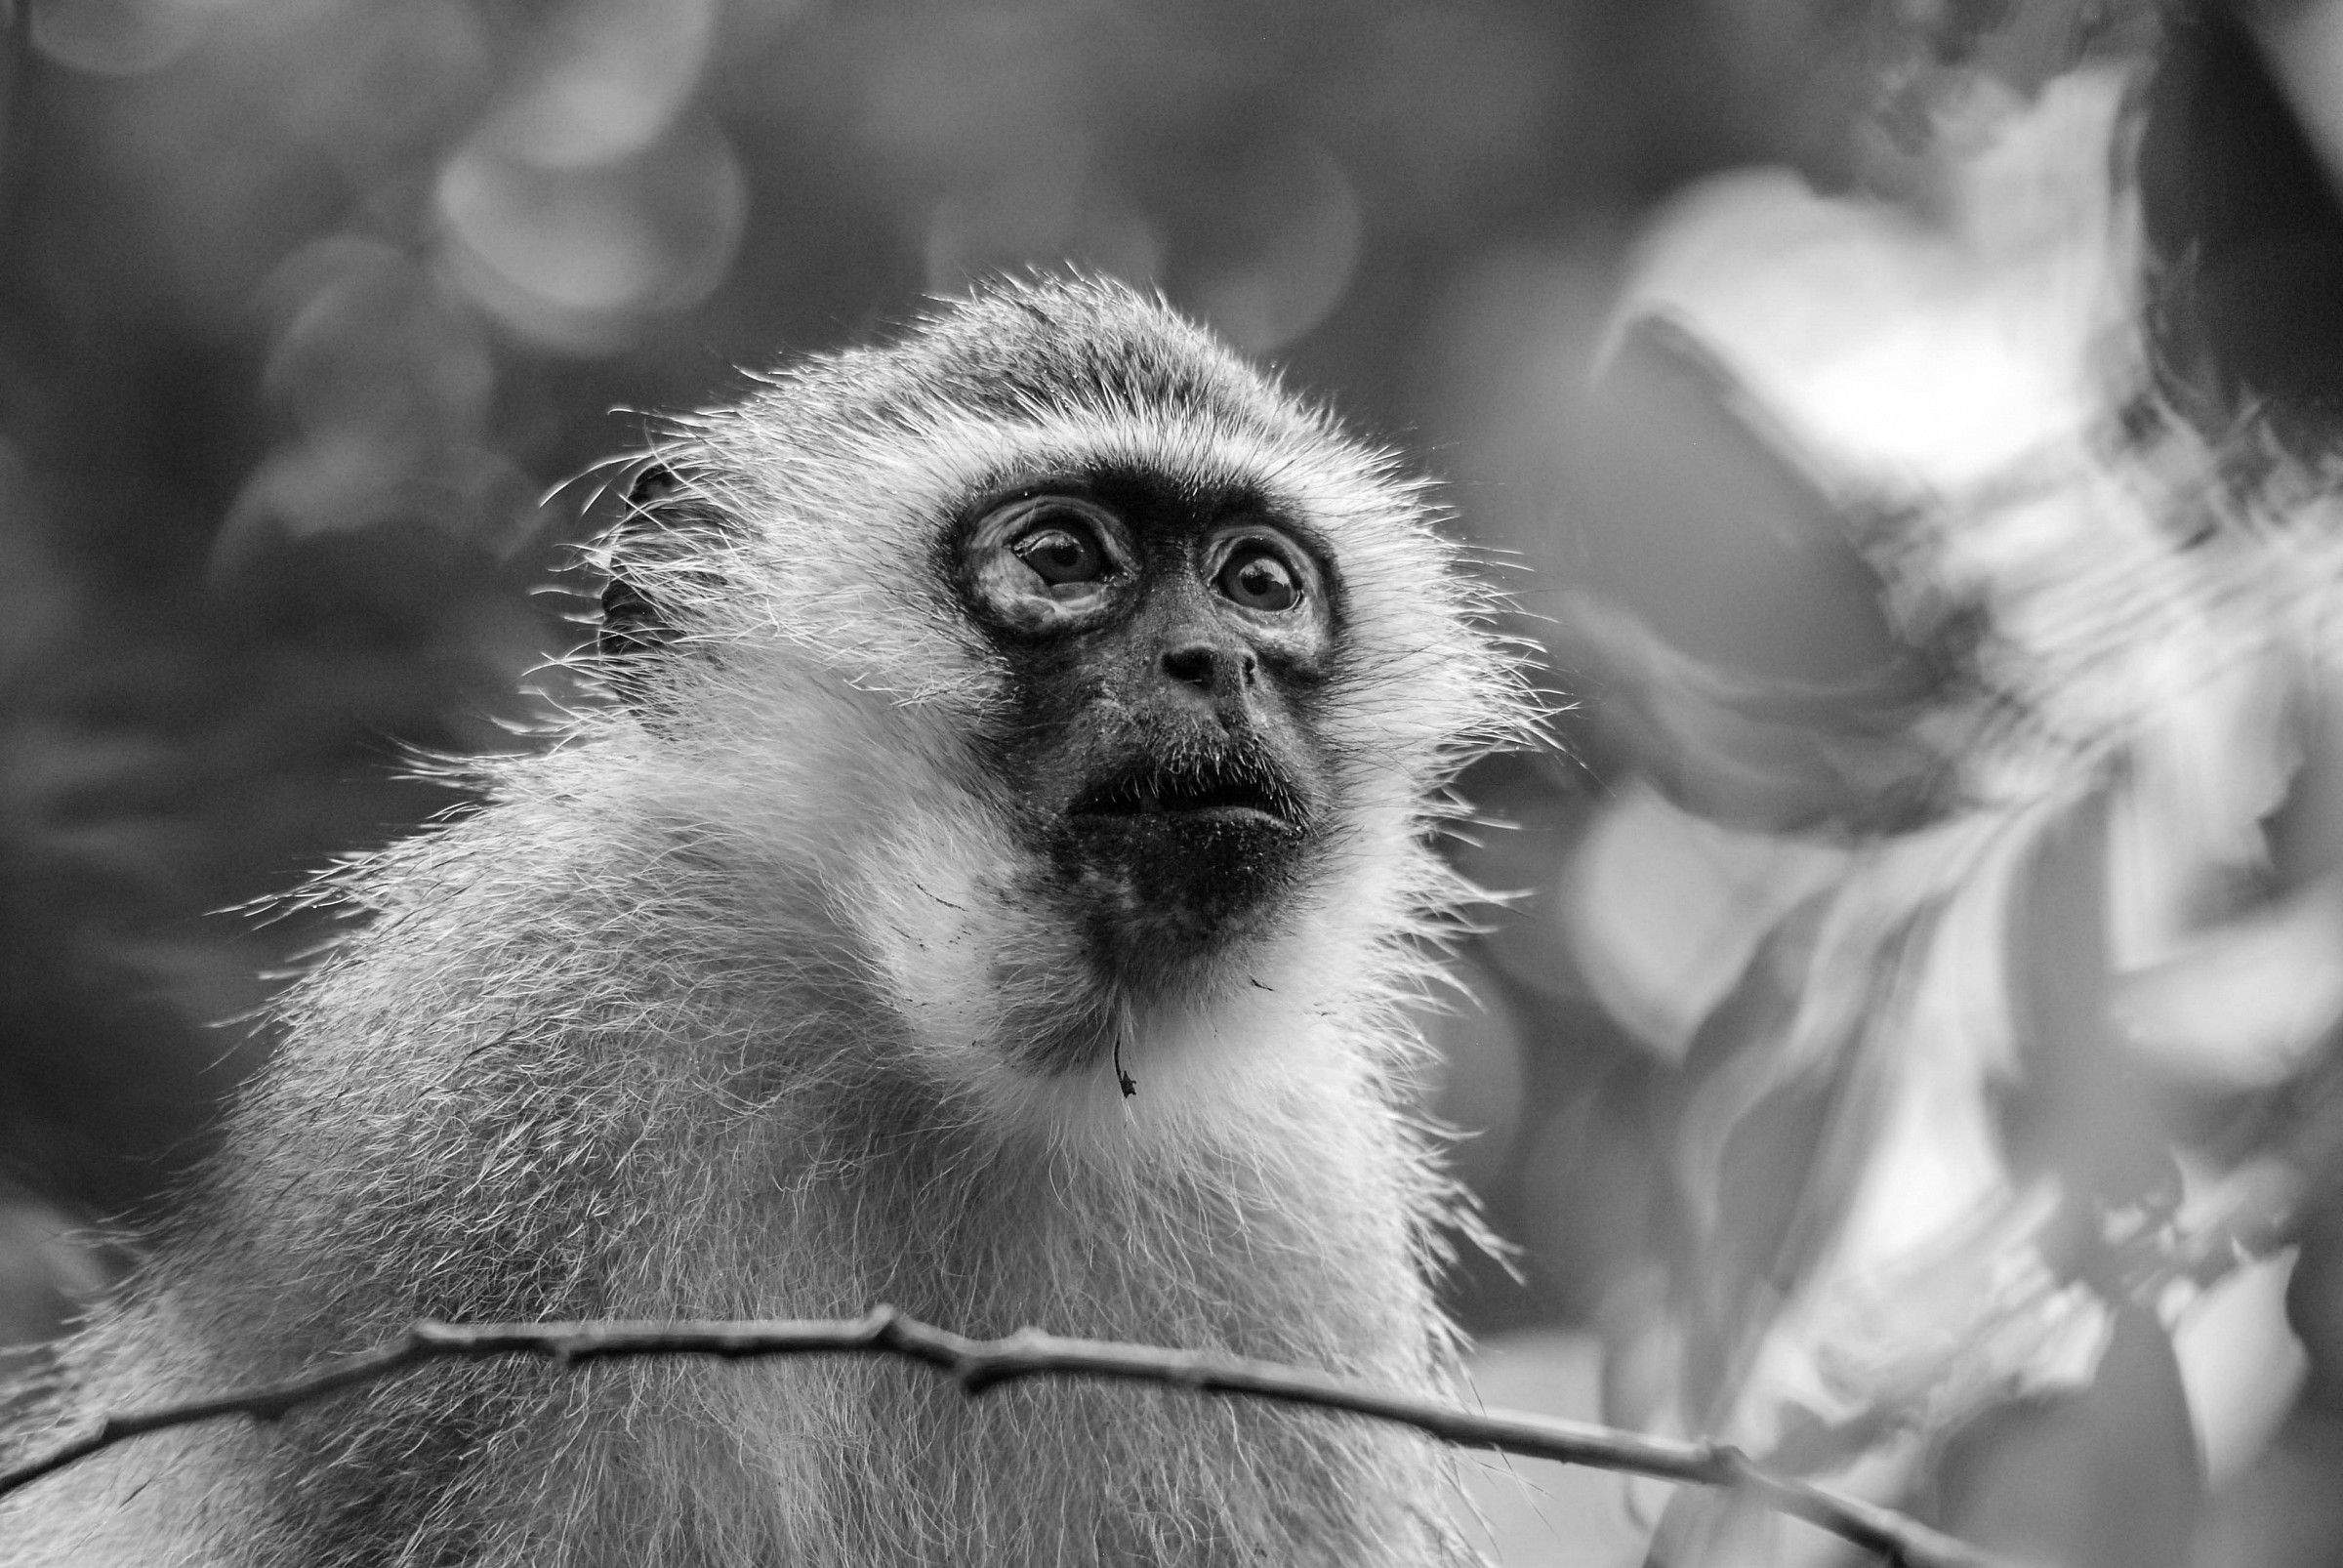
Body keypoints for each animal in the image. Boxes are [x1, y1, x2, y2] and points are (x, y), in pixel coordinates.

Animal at [0, 276, 1528, 1567]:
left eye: (1259, 583)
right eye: (1061, 556)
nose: (1211, 662)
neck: (949, 1067)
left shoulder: (1299, 1227)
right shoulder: (484, 1078)